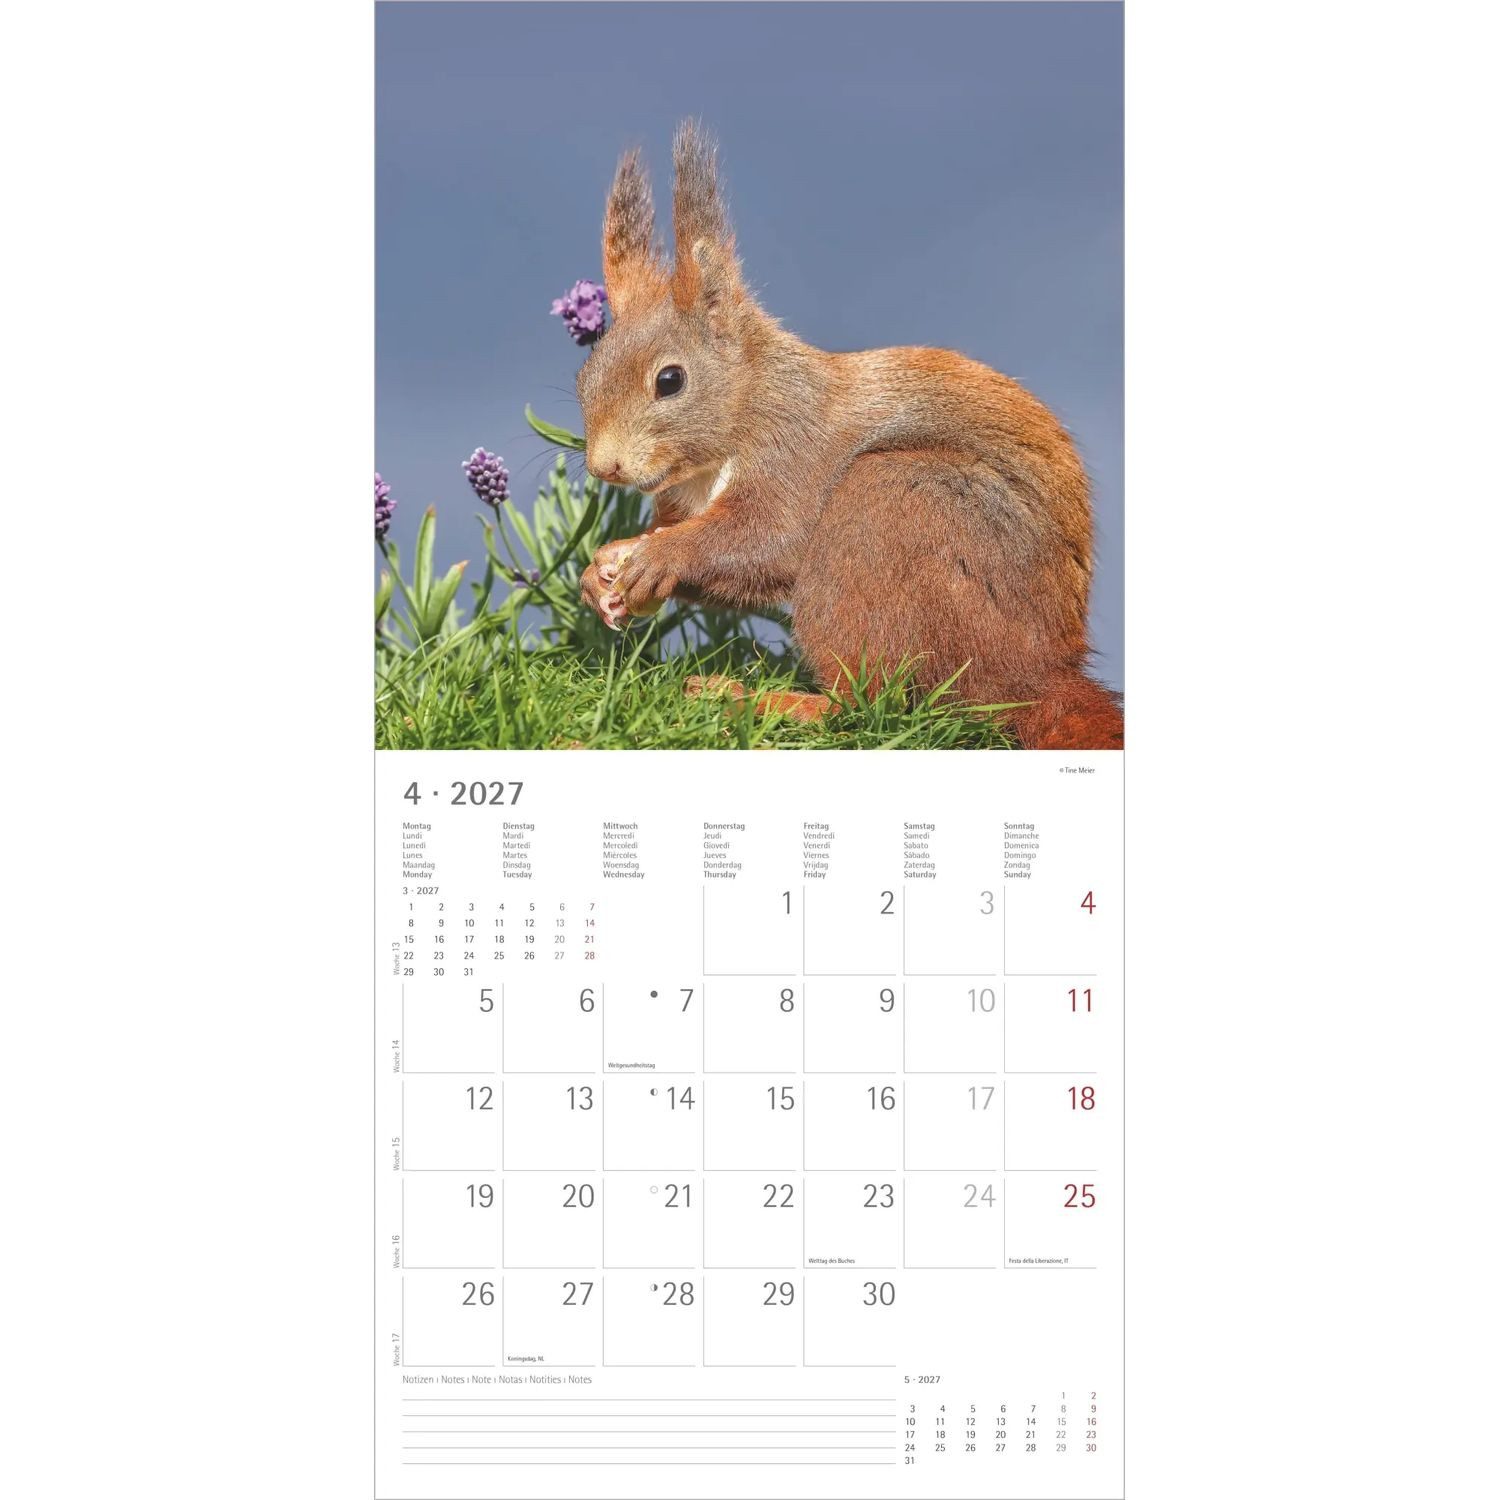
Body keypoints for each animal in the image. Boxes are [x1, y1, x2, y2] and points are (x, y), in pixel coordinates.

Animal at [576, 122, 1123, 751]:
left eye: (670, 380)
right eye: (585, 376)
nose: (605, 467)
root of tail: (1036, 676)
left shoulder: (795, 449)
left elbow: (770, 537)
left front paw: (660, 555)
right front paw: (604, 567)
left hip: (886, 506)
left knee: (866, 705)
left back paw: (756, 699)